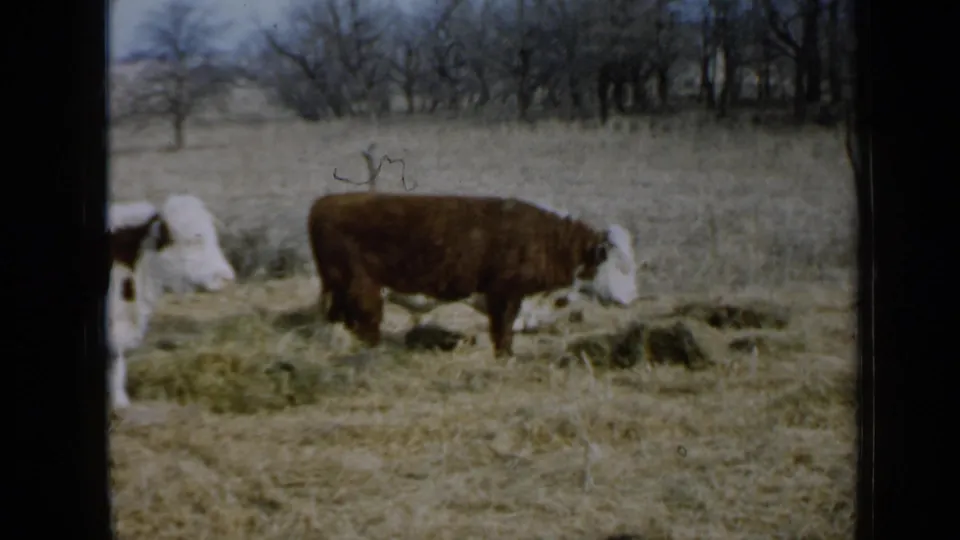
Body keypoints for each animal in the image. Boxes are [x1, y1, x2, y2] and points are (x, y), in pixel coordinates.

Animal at [307, 192, 639, 357]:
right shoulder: (505, 294)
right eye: (621, 265)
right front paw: (505, 357)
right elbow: (503, 332)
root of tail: (326, 201)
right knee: (367, 325)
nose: (631, 299)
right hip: (361, 287)